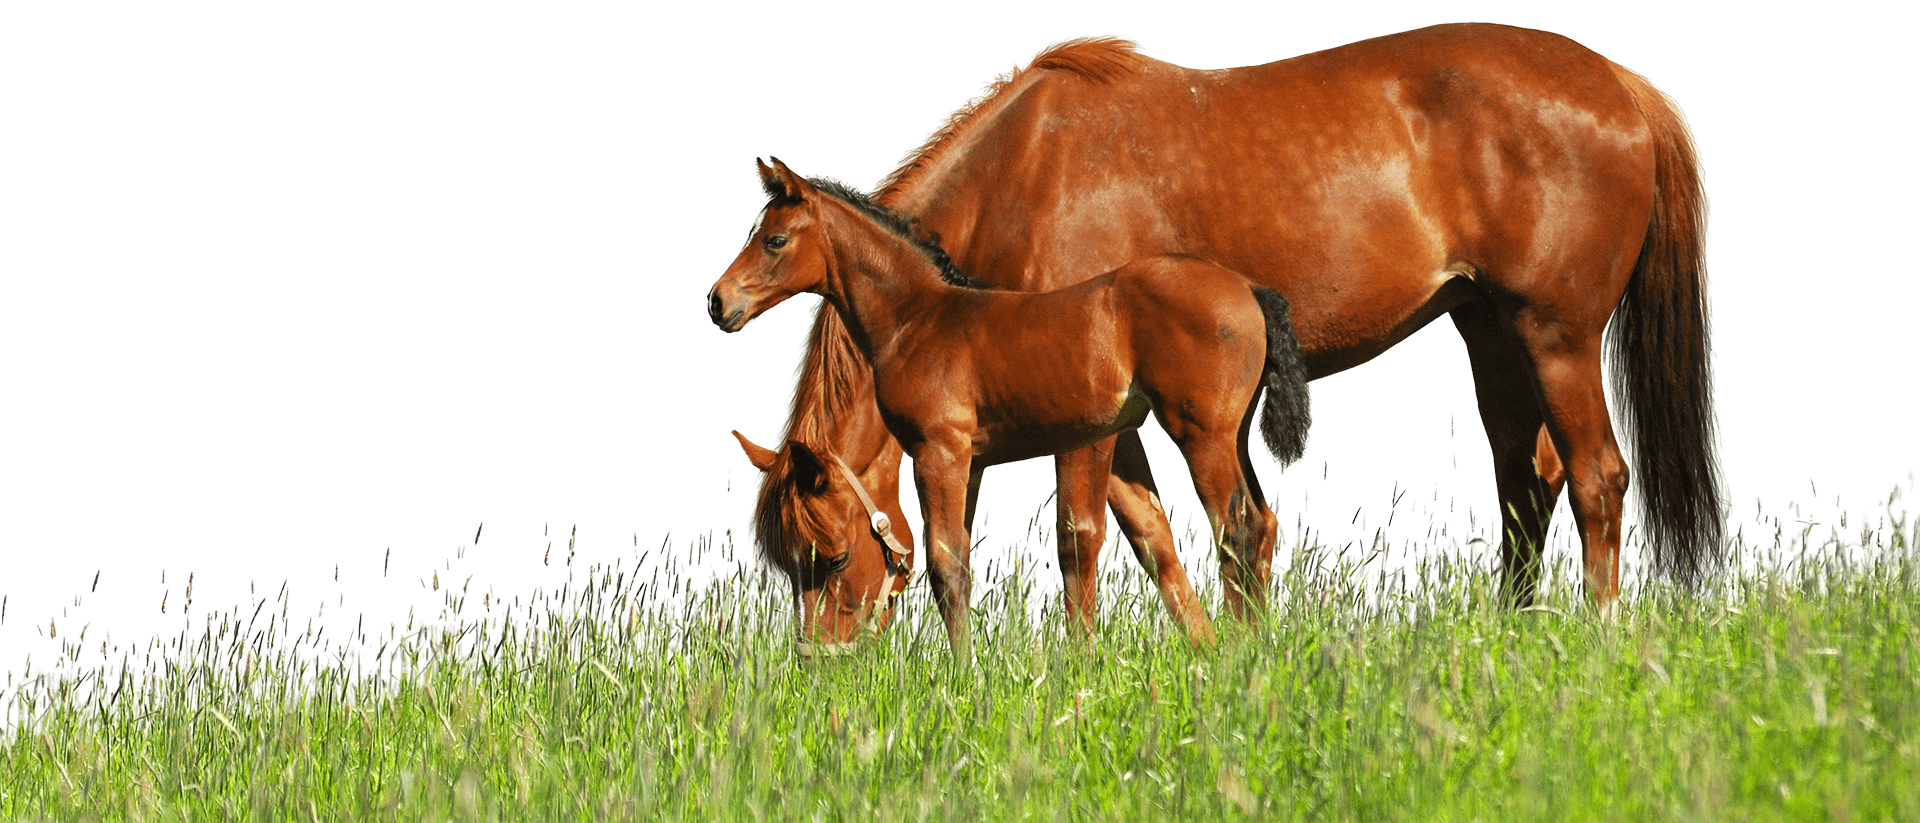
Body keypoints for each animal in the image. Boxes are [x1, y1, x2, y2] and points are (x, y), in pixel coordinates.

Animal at [711, 157, 1313, 653]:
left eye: (774, 241)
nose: (720, 302)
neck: (920, 319)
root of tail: (1249, 288)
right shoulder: (970, 462)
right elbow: (960, 558)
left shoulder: (938, 452)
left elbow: (947, 568)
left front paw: (964, 679)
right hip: (1232, 435)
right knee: (1259, 523)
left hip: (1202, 435)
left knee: (1236, 530)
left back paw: (1240, 655)